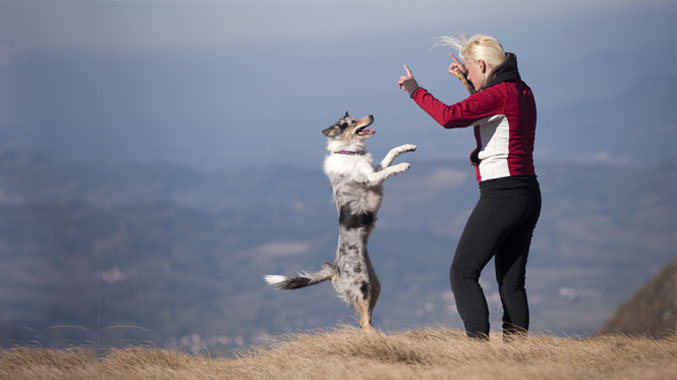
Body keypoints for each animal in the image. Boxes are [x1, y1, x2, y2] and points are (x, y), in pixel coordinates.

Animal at [262, 110, 412, 330]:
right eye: (353, 122)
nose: (371, 114)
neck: (349, 153)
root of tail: (336, 269)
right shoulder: (373, 178)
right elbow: (388, 170)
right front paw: (403, 165)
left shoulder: (374, 170)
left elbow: (390, 154)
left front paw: (407, 147)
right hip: (363, 286)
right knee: (364, 321)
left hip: (375, 285)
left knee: (365, 320)